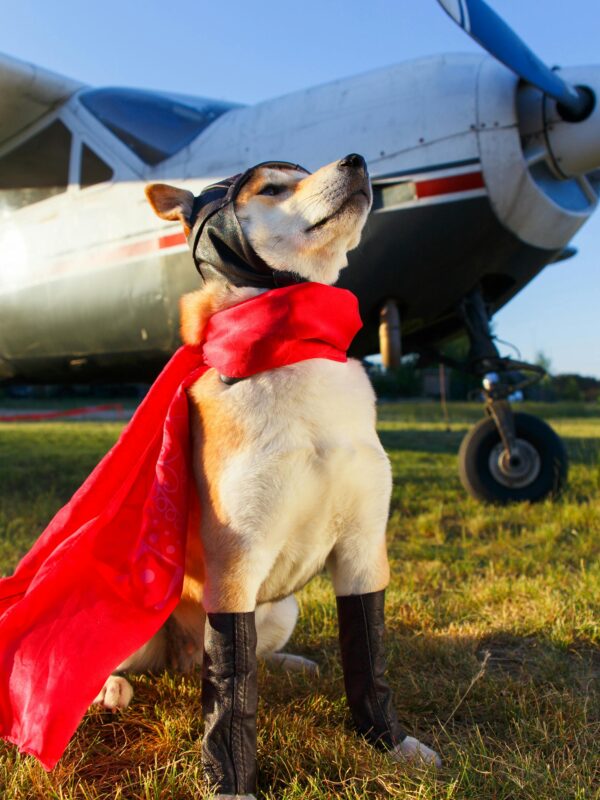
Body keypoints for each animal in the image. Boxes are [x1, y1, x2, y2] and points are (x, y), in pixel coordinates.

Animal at [91, 153, 438, 796]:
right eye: (273, 187)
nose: (357, 160)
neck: (293, 346)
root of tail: (180, 658)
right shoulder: (236, 560)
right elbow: (231, 699)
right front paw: (230, 779)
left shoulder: (363, 551)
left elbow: (368, 658)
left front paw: (391, 741)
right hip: (130, 608)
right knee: (156, 666)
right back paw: (111, 688)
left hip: (282, 607)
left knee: (243, 658)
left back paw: (289, 664)